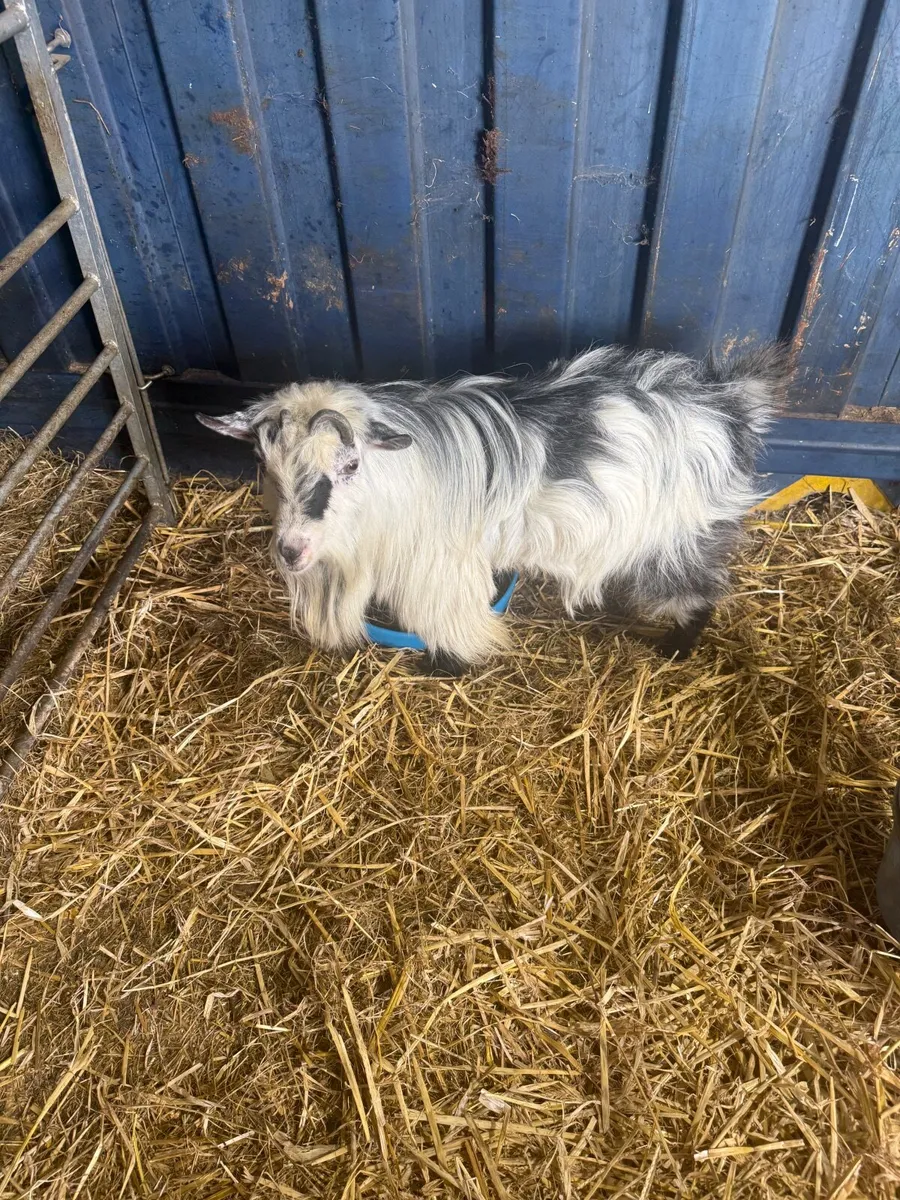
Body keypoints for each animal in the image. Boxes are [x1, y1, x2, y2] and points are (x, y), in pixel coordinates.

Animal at [197, 344, 784, 675]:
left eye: (351, 464)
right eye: (263, 464)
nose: (292, 551)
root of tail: (731, 404)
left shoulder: (440, 568)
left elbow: (447, 620)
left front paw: (446, 666)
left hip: (682, 535)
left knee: (698, 592)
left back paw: (676, 651)